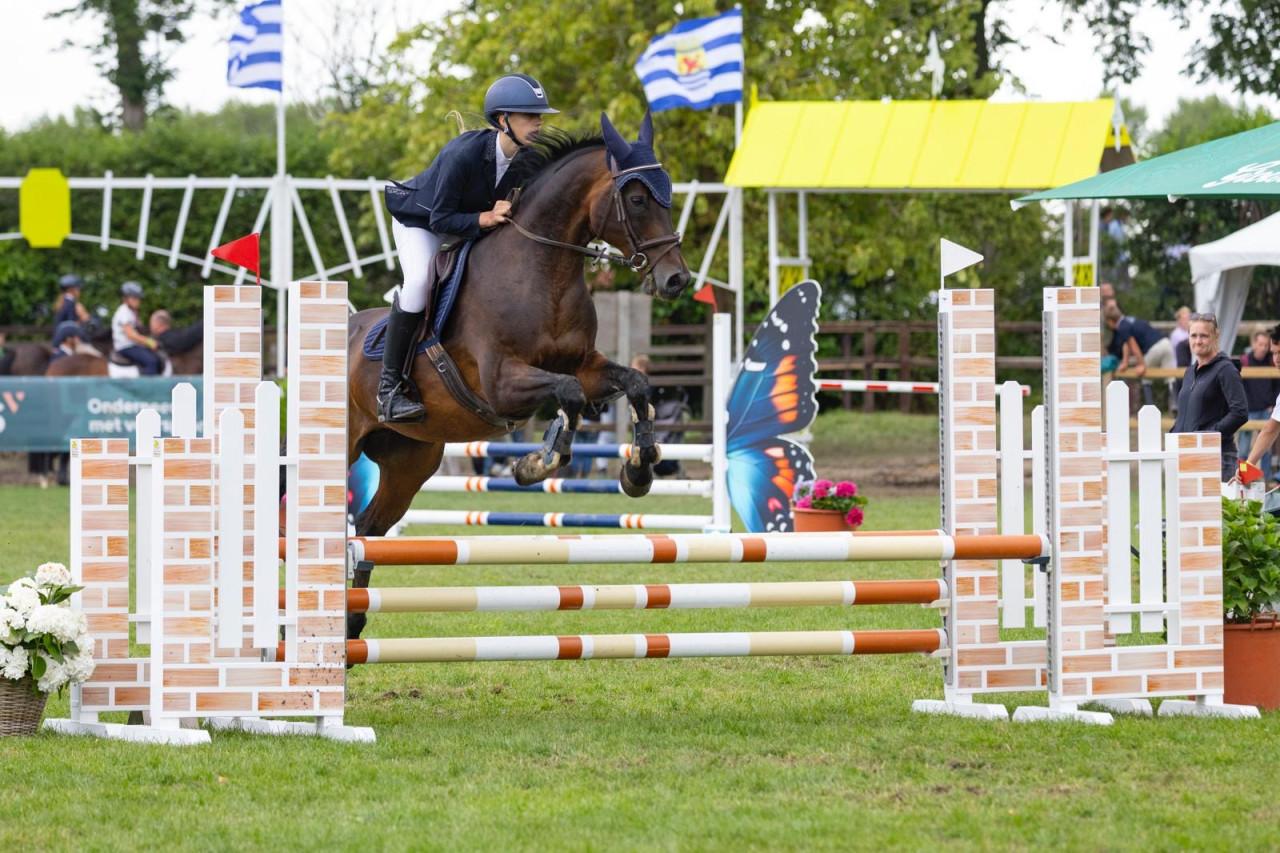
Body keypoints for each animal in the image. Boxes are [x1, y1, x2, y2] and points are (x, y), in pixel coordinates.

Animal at [345, 113, 691, 637]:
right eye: (636, 199)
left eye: (668, 194)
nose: (677, 280)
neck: (544, 271)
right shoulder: (501, 385)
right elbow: (568, 395)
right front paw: (537, 464)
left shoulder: (587, 365)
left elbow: (633, 384)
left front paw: (638, 469)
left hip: (410, 460)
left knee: (368, 530)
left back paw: (351, 622)